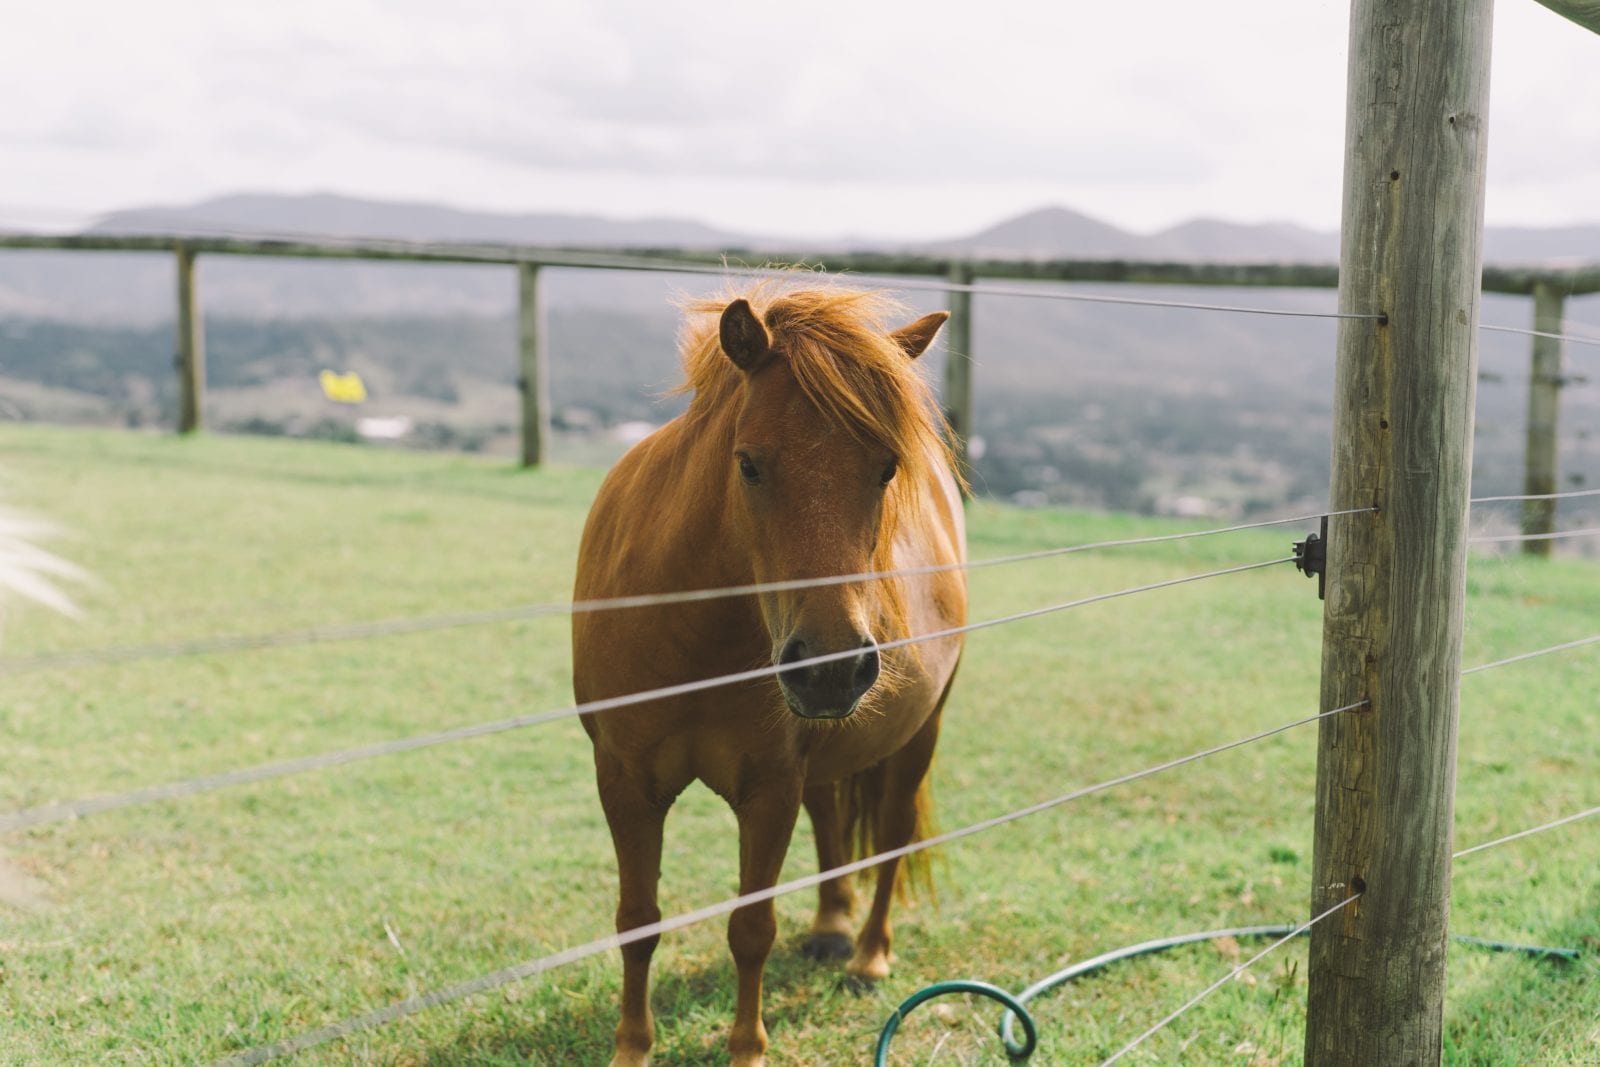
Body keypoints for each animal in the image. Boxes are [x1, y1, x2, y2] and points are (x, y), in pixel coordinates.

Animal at [571, 283, 968, 1067]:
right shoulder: (625, 779)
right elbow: (637, 919)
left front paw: (747, 1049)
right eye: (749, 464)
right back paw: (832, 926)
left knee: (893, 833)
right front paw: (632, 1046)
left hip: (920, 733)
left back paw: (867, 954)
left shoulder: (768, 786)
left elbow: (750, 930)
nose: (832, 667)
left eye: (886, 467)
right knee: (832, 814)